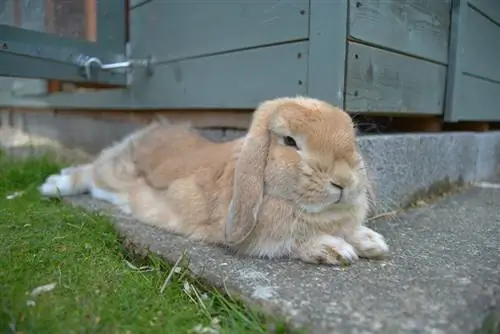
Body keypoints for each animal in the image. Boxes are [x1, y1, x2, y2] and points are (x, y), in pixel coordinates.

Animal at [40, 96, 390, 266]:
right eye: (290, 141)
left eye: (352, 140)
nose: (343, 181)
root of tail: (145, 132)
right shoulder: (256, 237)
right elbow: (290, 242)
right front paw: (335, 250)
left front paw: (371, 242)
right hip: (113, 174)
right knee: (88, 173)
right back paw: (52, 186)